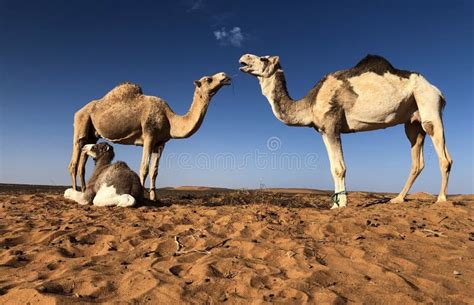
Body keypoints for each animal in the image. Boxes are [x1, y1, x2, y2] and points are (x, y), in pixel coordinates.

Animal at [68, 71, 231, 200]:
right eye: (208, 79)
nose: (225, 76)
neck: (169, 119)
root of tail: (78, 111)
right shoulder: (149, 135)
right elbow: (144, 168)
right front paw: (142, 195)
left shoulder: (160, 143)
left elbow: (155, 171)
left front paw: (154, 197)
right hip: (81, 124)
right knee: (74, 163)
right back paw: (75, 191)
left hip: (92, 135)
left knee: (82, 163)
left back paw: (83, 190)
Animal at [241, 53, 452, 208]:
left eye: (263, 58)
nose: (243, 58)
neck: (310, 102)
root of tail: (438, 91)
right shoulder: (323, 130)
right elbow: (332, 168)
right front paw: (334, 204)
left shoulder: (331, 124)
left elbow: (339, 168)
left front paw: (341, 204)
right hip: (412, 121)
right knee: (417, 159)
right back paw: (398, 198)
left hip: (429, 105)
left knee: (444, 155)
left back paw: (441, 199)